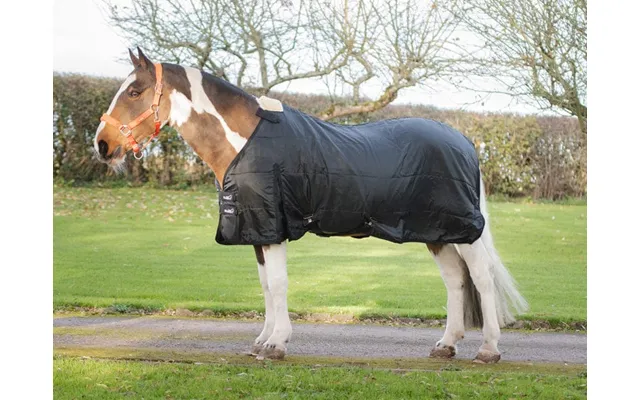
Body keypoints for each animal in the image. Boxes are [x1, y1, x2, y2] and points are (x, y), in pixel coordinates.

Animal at [93, 47, 527, 364]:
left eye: (134, 92)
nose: (102, 145)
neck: (246, 141)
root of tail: (465, 142)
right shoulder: (258, 230)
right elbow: (266, 286)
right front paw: (260, 341)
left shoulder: (275, 228)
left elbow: (280, 284)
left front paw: (277, 344)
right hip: (437, 233)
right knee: (455, 282)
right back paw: (446, 345)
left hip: (464, 232)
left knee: (482, 279)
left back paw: (488, 350)